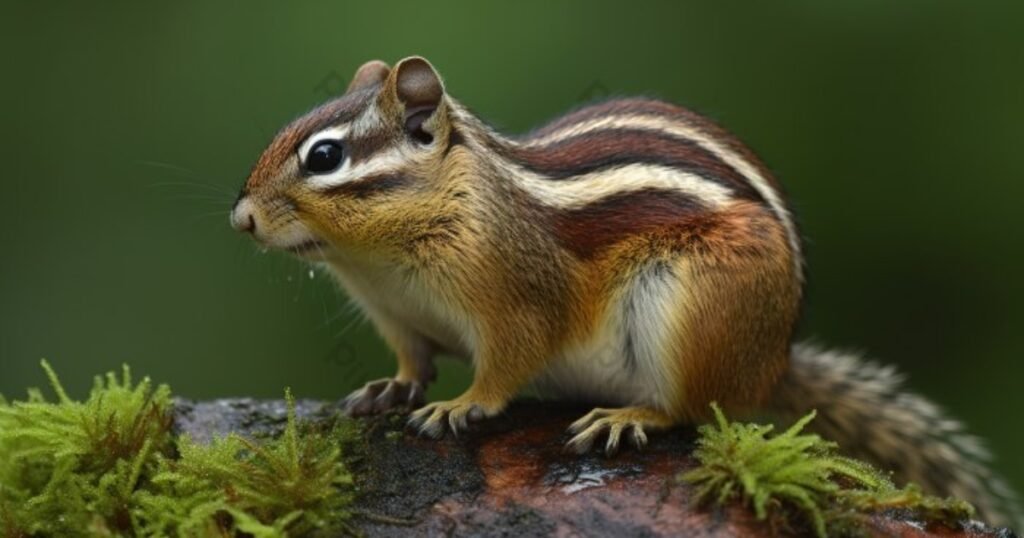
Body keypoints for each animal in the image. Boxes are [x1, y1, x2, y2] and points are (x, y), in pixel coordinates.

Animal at [231, 56, 1021, 528]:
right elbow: (414, 361)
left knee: (696, 407)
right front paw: (391, 389)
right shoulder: (398, 315)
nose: (240, 218)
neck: (381, 263)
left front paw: (461, 405)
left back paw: (629, 416)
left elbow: (507, 365)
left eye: (324, 156)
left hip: (691, 308)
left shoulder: (518, 298)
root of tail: (773, 361)